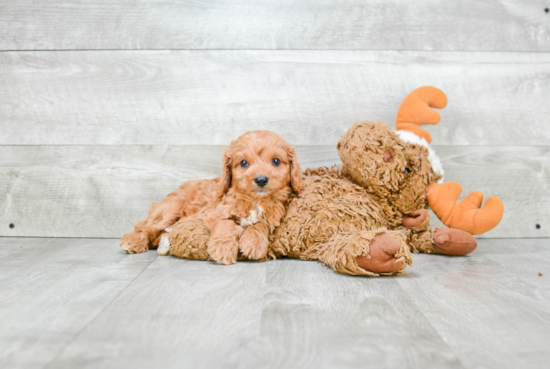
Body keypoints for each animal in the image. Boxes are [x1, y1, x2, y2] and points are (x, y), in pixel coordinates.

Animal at [119, 131, 306, 264]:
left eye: (276, 161)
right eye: (243, 163)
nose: (261, 180)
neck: (254, 201)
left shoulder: (272, 216)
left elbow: (260, 225)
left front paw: (253, 243)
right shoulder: (213, 213)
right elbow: (226, 224)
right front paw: (223, 247)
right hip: (172, 207)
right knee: (145, 226)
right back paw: (133, 241)